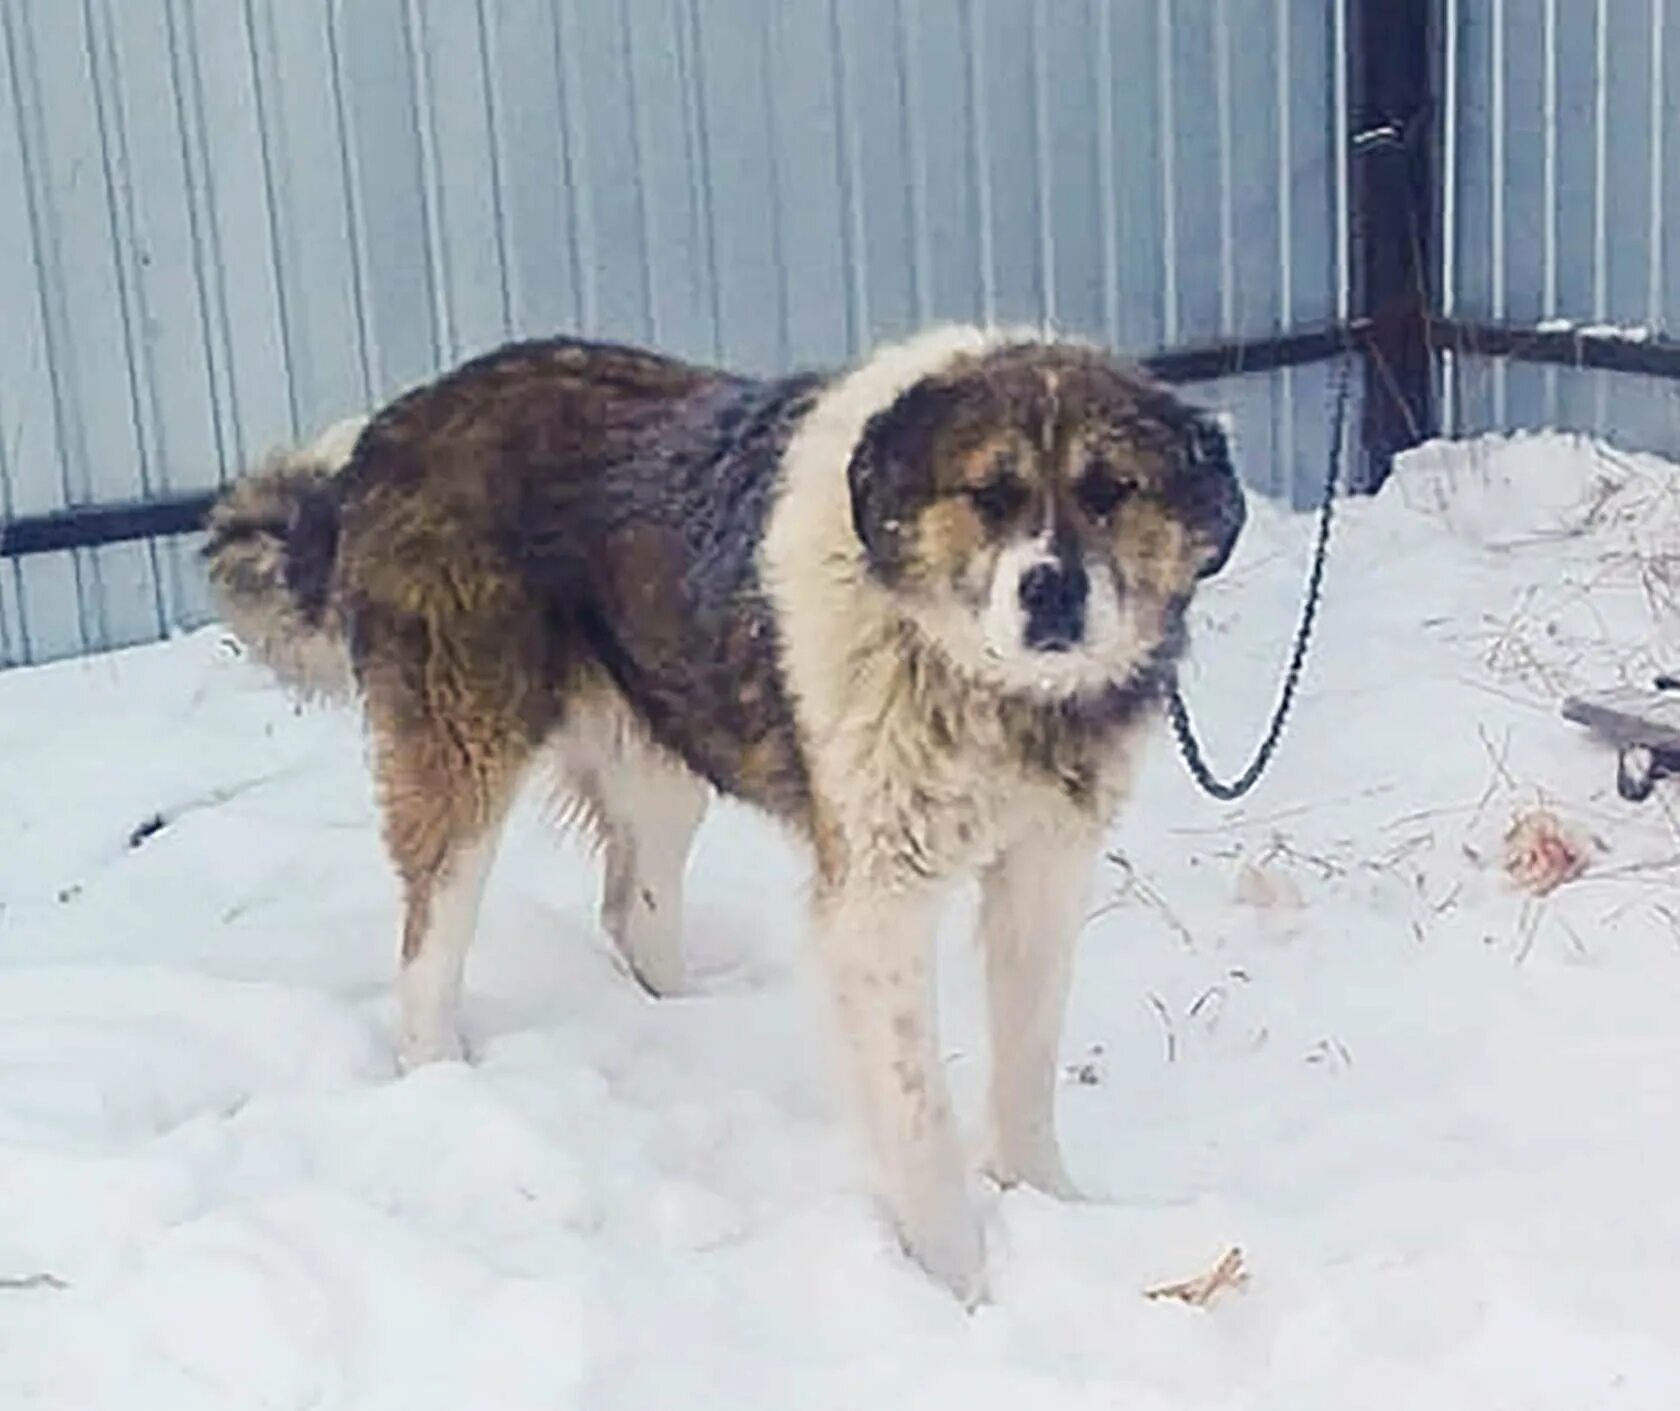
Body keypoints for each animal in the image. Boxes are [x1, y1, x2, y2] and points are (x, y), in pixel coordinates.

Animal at [199, 322, 1249, 1303]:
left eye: (1112, 489)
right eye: (990, 494)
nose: (1051, 590)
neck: (987, 681)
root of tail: (391, 429)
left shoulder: (1044, 869)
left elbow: (1027, 1071)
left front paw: (1056, 1214)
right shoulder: (878, 903)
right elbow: (922, 1122)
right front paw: (963, 1291)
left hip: (664, 760)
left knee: (632, 913)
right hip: (467, 752)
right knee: (428, 952)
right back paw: (443, 1084)